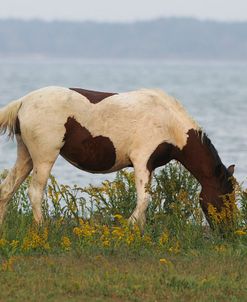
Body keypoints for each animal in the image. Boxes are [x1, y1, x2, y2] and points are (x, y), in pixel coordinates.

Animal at [0, 86, 235, 229]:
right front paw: (130, 228)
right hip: (44, 157)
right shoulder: (142, 161)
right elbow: (144, 199)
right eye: (225, 197)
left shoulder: (149, 166)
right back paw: (42, 228)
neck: (169, 123)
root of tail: (23, 102)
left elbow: (144, 200)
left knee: (7, 190)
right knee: (35, 192)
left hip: (26, 156)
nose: (228, 232)